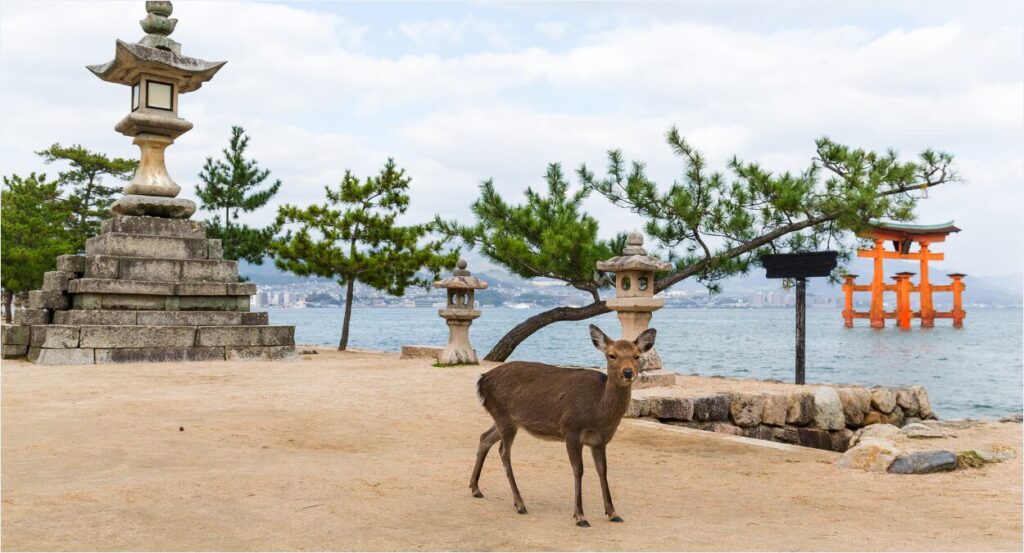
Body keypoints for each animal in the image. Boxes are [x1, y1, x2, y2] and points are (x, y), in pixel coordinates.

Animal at [471, 323, 655, 528]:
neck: (598, 413)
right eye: (611, 355)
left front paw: (613, 513)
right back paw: (520, 503)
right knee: (504, 452)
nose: (628, 372)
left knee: (484, 437)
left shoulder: (600, 440)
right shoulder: (571, 430)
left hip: (505, 419)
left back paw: (475, 488)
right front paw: (580, 516)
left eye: (637, 356)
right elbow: (578, 470)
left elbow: (603, 470)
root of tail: (482, 380)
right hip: (505, 417)